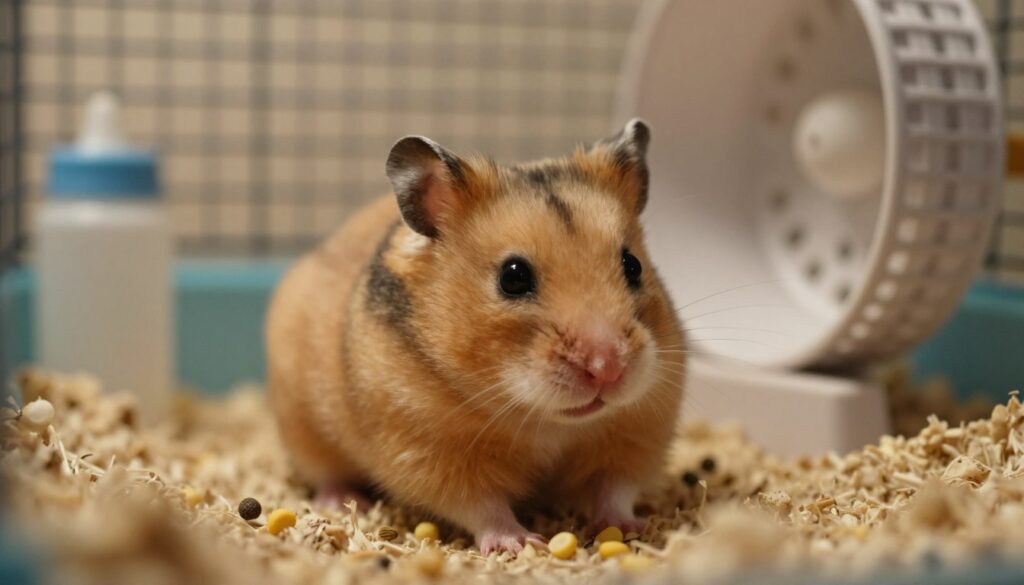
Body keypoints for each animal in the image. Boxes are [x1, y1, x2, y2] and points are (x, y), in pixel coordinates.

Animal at [267, 119, 685, 555]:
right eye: (513, 277)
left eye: (633, 265)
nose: (608, 368)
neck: (547, 421)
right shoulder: (432, 450)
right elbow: (482, 505)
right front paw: (519, 543)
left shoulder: (637, 431)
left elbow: (615, 489)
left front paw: (628, 527)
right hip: (306, 429)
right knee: (327, 473)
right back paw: (345, 501)